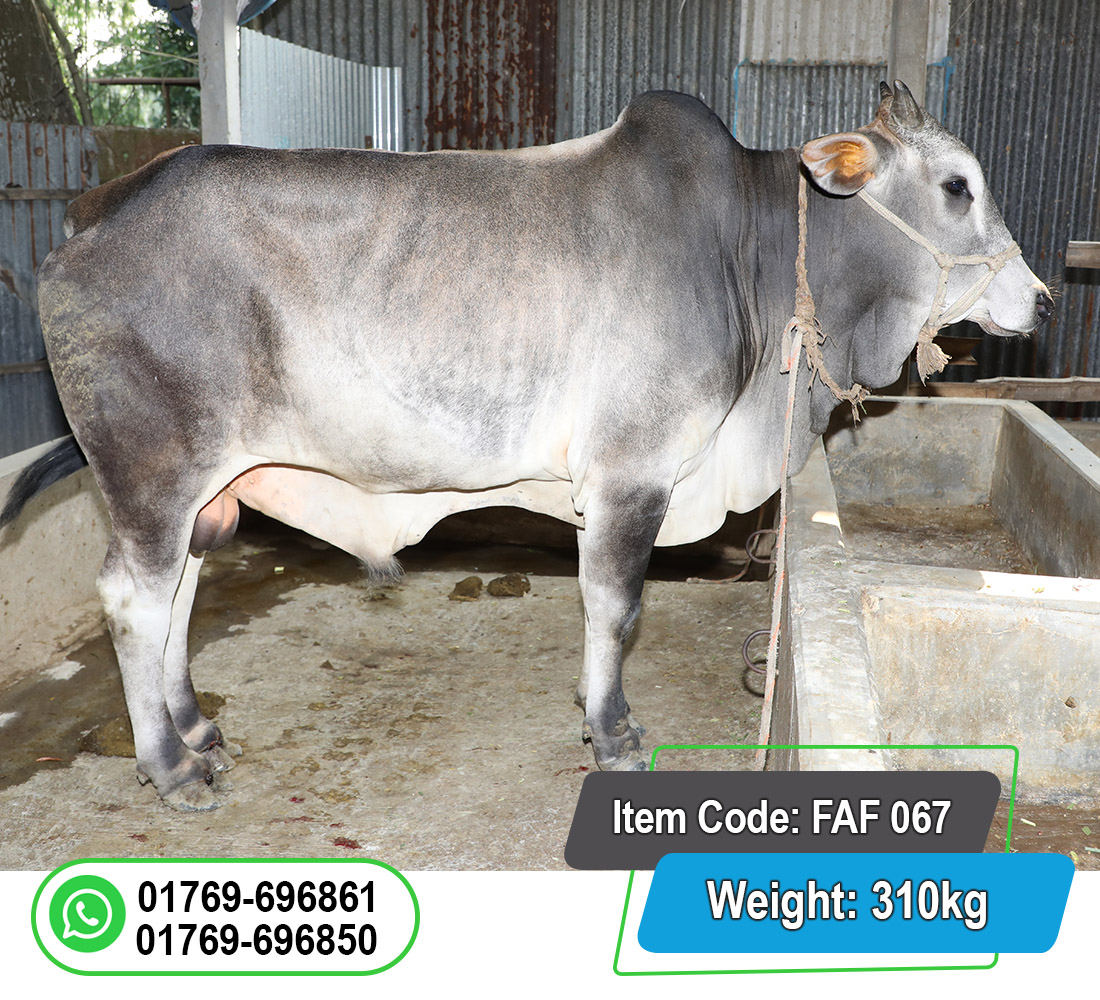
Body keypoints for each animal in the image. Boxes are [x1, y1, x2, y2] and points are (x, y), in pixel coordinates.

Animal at [2, 82, 1052, 810]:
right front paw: (614, 733)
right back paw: (171, 767)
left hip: (203, 489)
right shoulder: (632, 474)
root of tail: (93, 211)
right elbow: (616, 608)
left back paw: (196, 729)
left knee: (178, 593)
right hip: (152, 470)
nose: (1039, 300)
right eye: (957, 186)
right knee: (134, 602)